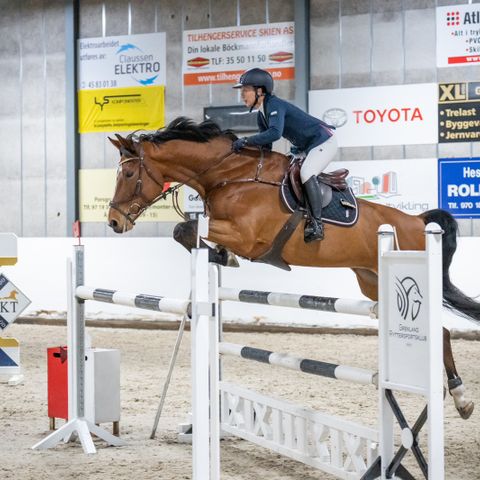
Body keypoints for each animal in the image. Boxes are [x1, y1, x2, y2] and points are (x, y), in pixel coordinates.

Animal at [109, 117, 480, 420]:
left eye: (128, 173)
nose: (114, 222)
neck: (230, 176)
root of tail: (416, 220)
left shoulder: (247, 237)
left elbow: (184, 228)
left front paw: (223, 256)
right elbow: (187, 231)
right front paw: (219, 256)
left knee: (438, 331)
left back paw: (461, 397)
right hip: (373, 281)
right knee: (441, 331)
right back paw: (460, 398)